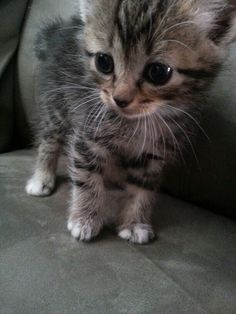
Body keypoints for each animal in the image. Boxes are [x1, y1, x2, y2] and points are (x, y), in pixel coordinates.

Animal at [25, 0, 236, 243]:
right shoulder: (89, 135)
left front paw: (134, 223)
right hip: (55, 105)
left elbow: (142, 188)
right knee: (49, 140)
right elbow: (87, 176)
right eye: (103, 62)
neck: (138, 122)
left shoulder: (154, 154)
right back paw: (42, 177)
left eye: (158, 72)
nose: (120, 99)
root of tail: (58, 32)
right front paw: (85, 218)